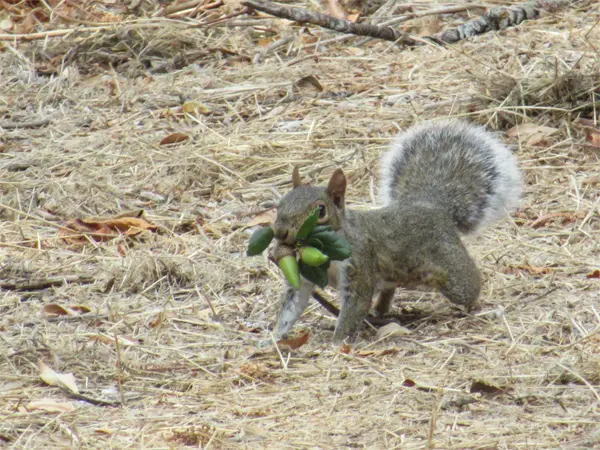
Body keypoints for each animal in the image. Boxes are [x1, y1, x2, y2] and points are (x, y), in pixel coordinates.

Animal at [270, 119, 524, 342]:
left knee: (470, 286)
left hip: (451, 271)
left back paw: (474, 306)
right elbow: (291, 308)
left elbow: (354, 308)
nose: (281, 233)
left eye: (321, 210)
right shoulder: (304, 277)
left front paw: (337, 343)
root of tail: (432, 206)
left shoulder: (359, 265)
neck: (327, 254)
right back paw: (381, 312)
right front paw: (272, 339)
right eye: (280, 204)